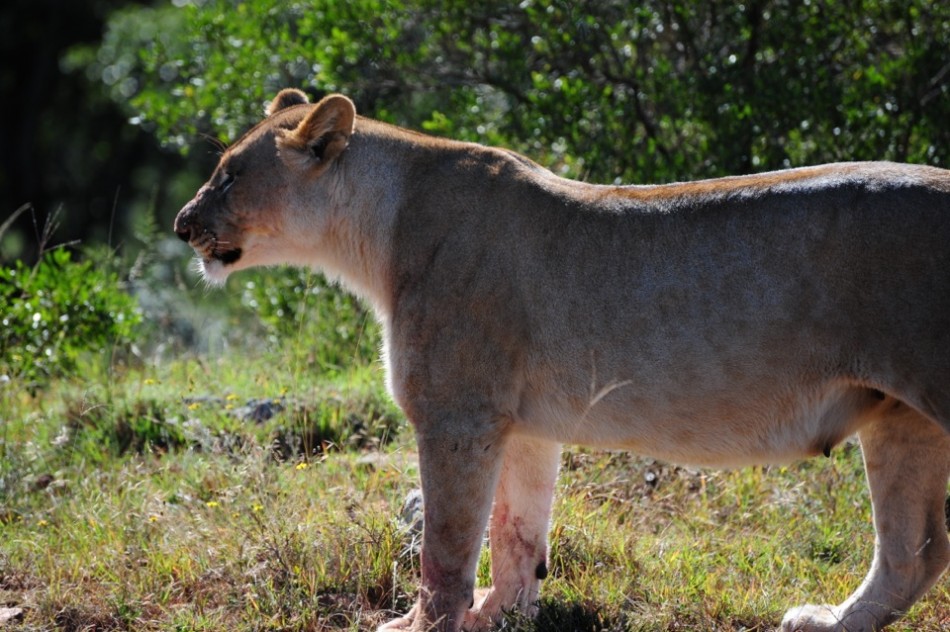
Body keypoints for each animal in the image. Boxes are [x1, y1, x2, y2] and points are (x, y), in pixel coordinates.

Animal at [174, 88, 950, 632]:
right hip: (901, 420)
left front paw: (424, 623)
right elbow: (517, 534)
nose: (182, 224)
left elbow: (446, 542)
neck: (375, 233)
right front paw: (499, 614)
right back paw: (832, 620)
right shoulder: (521, 426)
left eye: (230, 176)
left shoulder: (458, 414)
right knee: (913, 551)